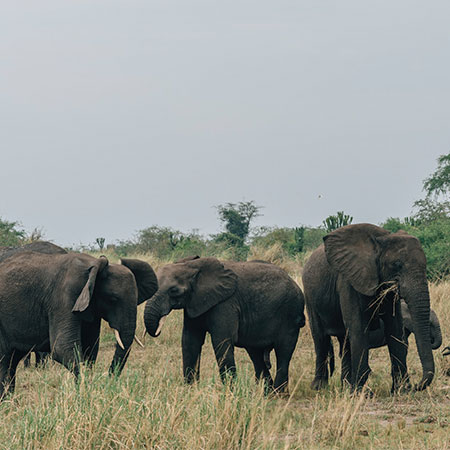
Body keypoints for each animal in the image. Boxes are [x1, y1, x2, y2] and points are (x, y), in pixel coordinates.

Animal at [0, 241, 158, 396]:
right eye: (113, 299)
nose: (110, 381)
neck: (94, 265)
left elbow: (91, 348)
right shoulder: (64, 297)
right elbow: (63, 348)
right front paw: (85, 390)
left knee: (12, 361)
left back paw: (9, 399)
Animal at [144, 258, 306, 392]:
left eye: (174, 290)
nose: (157, 329)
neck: (191, 265)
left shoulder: (225, 303)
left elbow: (222, 341)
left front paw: (230, 393)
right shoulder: (194, 303)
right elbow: (190, 341)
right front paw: (190, 390)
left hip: (290, 314)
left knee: (283, 352)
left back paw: (278, 394)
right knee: (256, 354)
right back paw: (267, 394)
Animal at [302, 223, 436, 392]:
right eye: (397, 265)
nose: (417, 386)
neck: (382, 239)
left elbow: (395, 328)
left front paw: (401, 391)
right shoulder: (348, 279)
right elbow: (358, 327)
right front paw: (361, 393)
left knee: (345, 341)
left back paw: (345, 387)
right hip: (310, 296)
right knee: (320, 337)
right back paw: (320, 387)